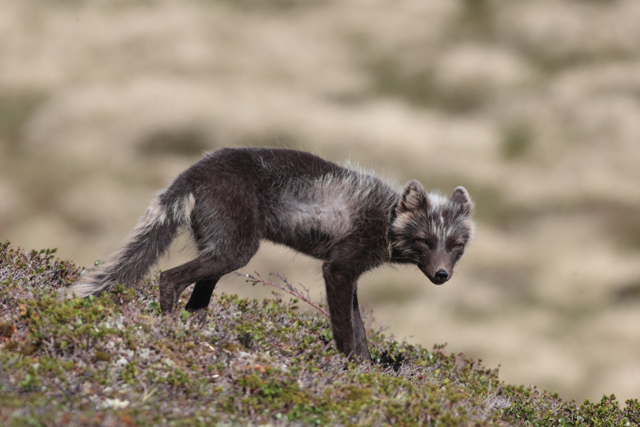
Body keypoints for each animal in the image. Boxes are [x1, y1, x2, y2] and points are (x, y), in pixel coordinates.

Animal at [69, 147, 476, 362]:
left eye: (456, 246)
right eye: (424, 240)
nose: (442, 275)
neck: (388, 219)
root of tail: (193, 172)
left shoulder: (350, 274)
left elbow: (359, 327)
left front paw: (367, 369)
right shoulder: (339, 268)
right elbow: (345, 329)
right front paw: (348, 368)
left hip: (218, 248)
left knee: (197, 301)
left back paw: (200, 335)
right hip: (236, 250)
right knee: (169, 277)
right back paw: (170, 328)